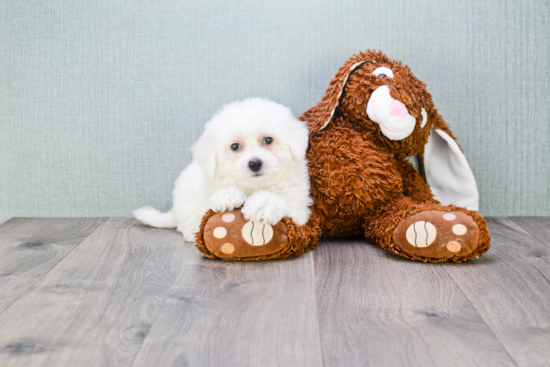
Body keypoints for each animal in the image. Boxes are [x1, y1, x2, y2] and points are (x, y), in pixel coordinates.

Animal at [134, 98, 312, 243]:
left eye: (268, 140)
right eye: (235, 146)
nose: (255, 163)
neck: (254, 186)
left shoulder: (299, 209)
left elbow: (282, 202)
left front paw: (262, 204)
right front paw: (228, 196)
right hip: (186, 196)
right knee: (185, 220)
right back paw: (192, 230)